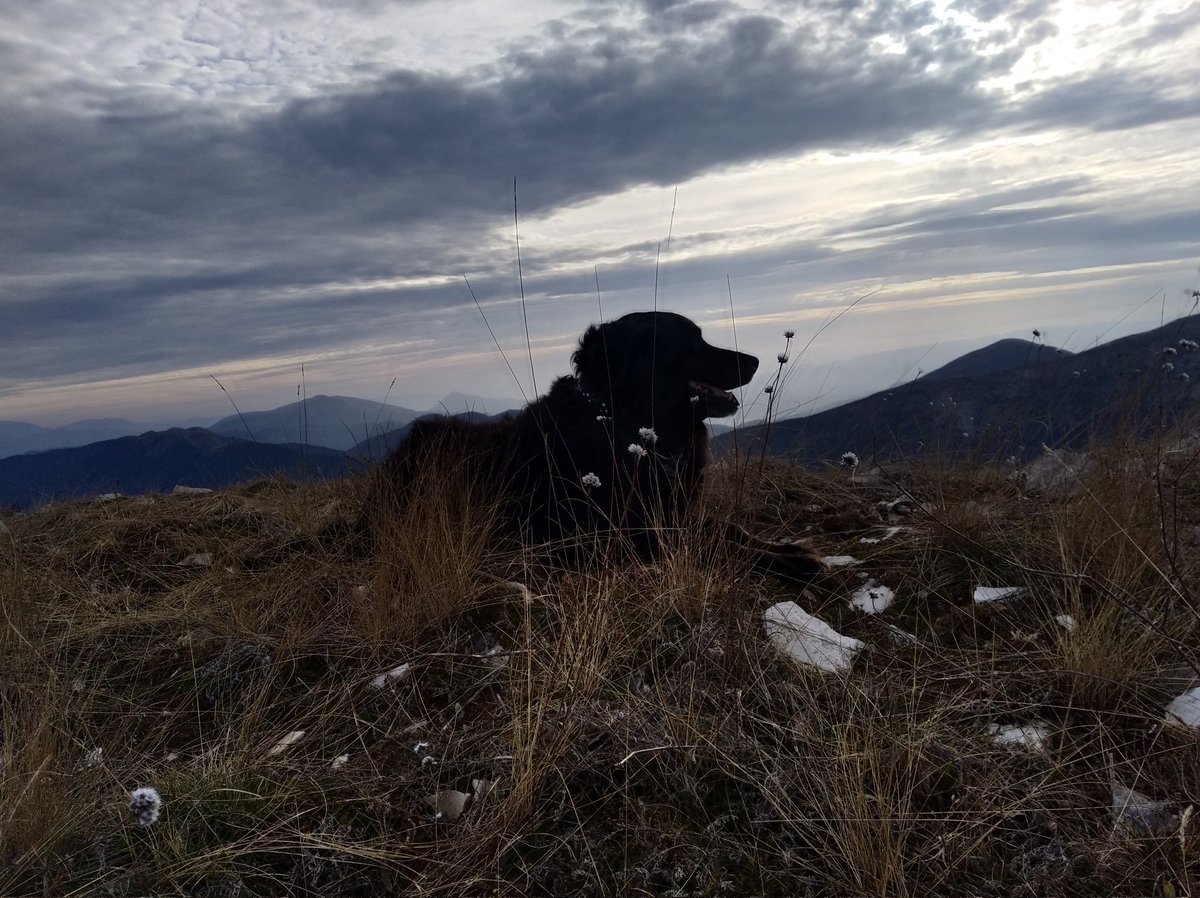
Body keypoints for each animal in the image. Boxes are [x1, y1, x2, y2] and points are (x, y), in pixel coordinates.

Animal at [364, 307, 825, 576]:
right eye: (692, 341)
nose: (756, 360)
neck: (624, 425)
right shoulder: (631, 534)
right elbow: (716, 544)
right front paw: (793, 563)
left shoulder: (673, 512)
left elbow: (729, 529)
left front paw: (786, 548)